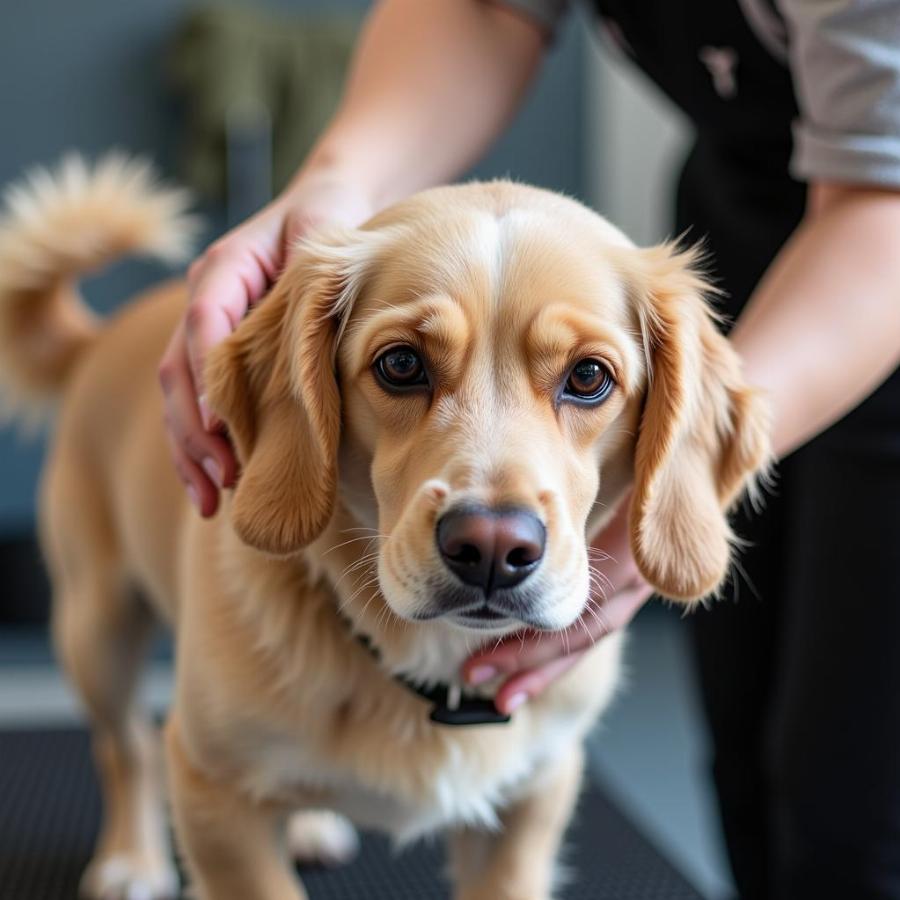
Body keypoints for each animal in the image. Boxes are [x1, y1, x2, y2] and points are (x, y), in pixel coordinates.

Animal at [0, 158, 768, 896]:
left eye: (588, 378)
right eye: (401, 364)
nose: (492, 548)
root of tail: (99, 337)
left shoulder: (534, 797)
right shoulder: (213, 794)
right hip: (98, 628)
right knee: (123, 745)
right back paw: (132, 858)